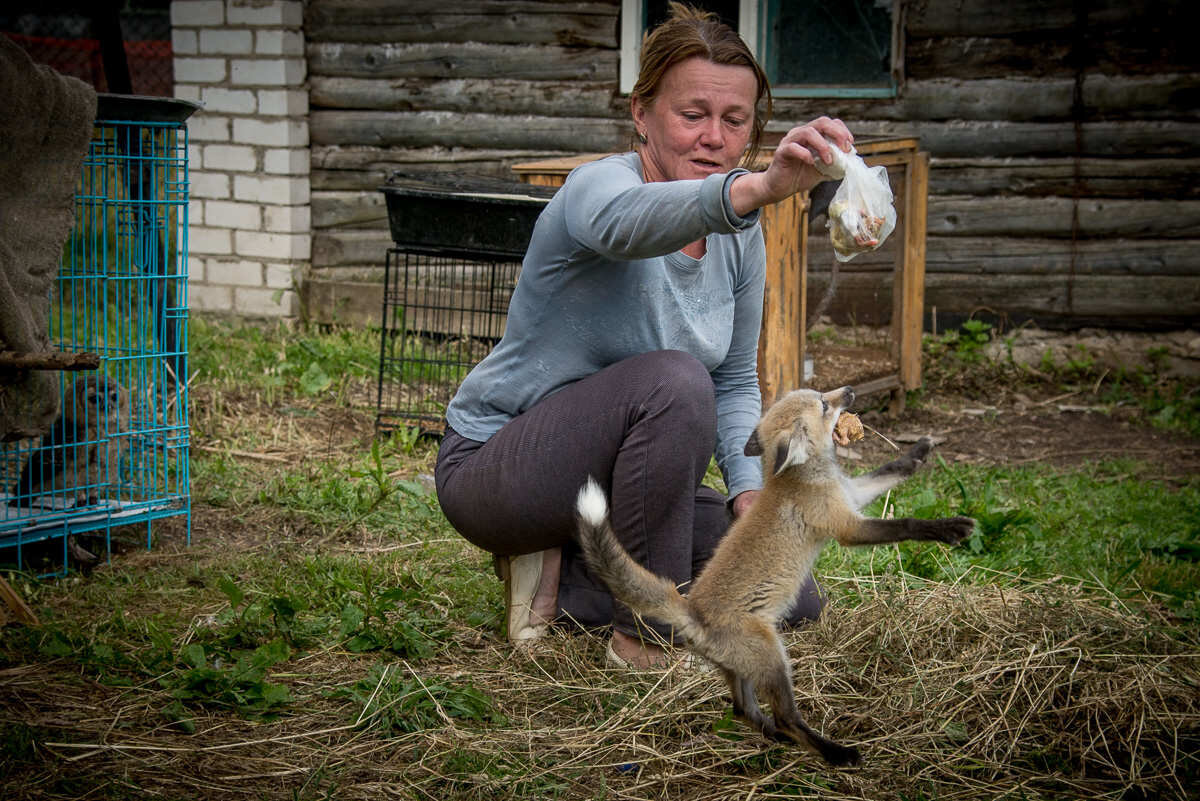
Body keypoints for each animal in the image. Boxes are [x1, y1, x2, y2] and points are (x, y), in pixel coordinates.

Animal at [576, 386, 979, 762]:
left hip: (740, 668)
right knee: (785, 716)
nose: (849, 391)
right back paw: (834, 753)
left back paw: (776, 738)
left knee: (744, 711)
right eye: (824, 405)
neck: (801, 479)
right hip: (773, 658)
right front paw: (948, 528)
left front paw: (920, 451)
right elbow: (905, 524)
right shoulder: (846, 527)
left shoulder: (853, 494)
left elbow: (892, 470)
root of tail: (693, 611)